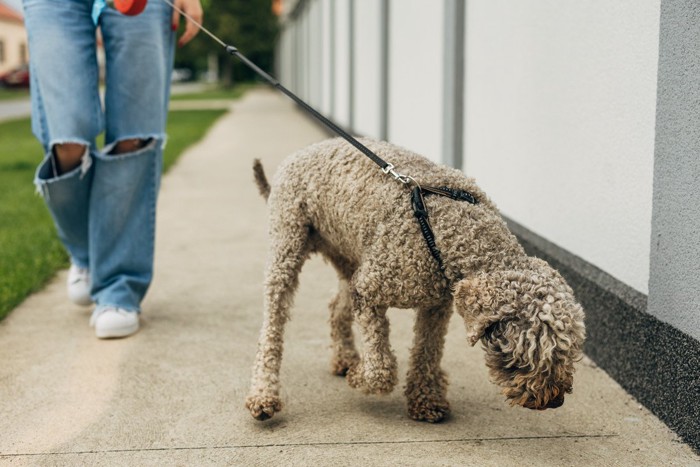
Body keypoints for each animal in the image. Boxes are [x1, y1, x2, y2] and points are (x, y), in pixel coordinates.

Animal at [246, 138, 584, 424]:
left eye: (570, 351)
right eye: (525, 359)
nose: (556, 401)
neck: (454, 230)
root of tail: (297, 154)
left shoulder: (436, 306)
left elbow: (426, 352)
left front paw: (426, 399)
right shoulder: (368, 291)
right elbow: (381, 369)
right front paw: (360, 376)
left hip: (348, 252)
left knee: (336, 305)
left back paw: (344, 357)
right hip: (288, 247)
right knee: (271, 329)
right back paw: (264, 395)